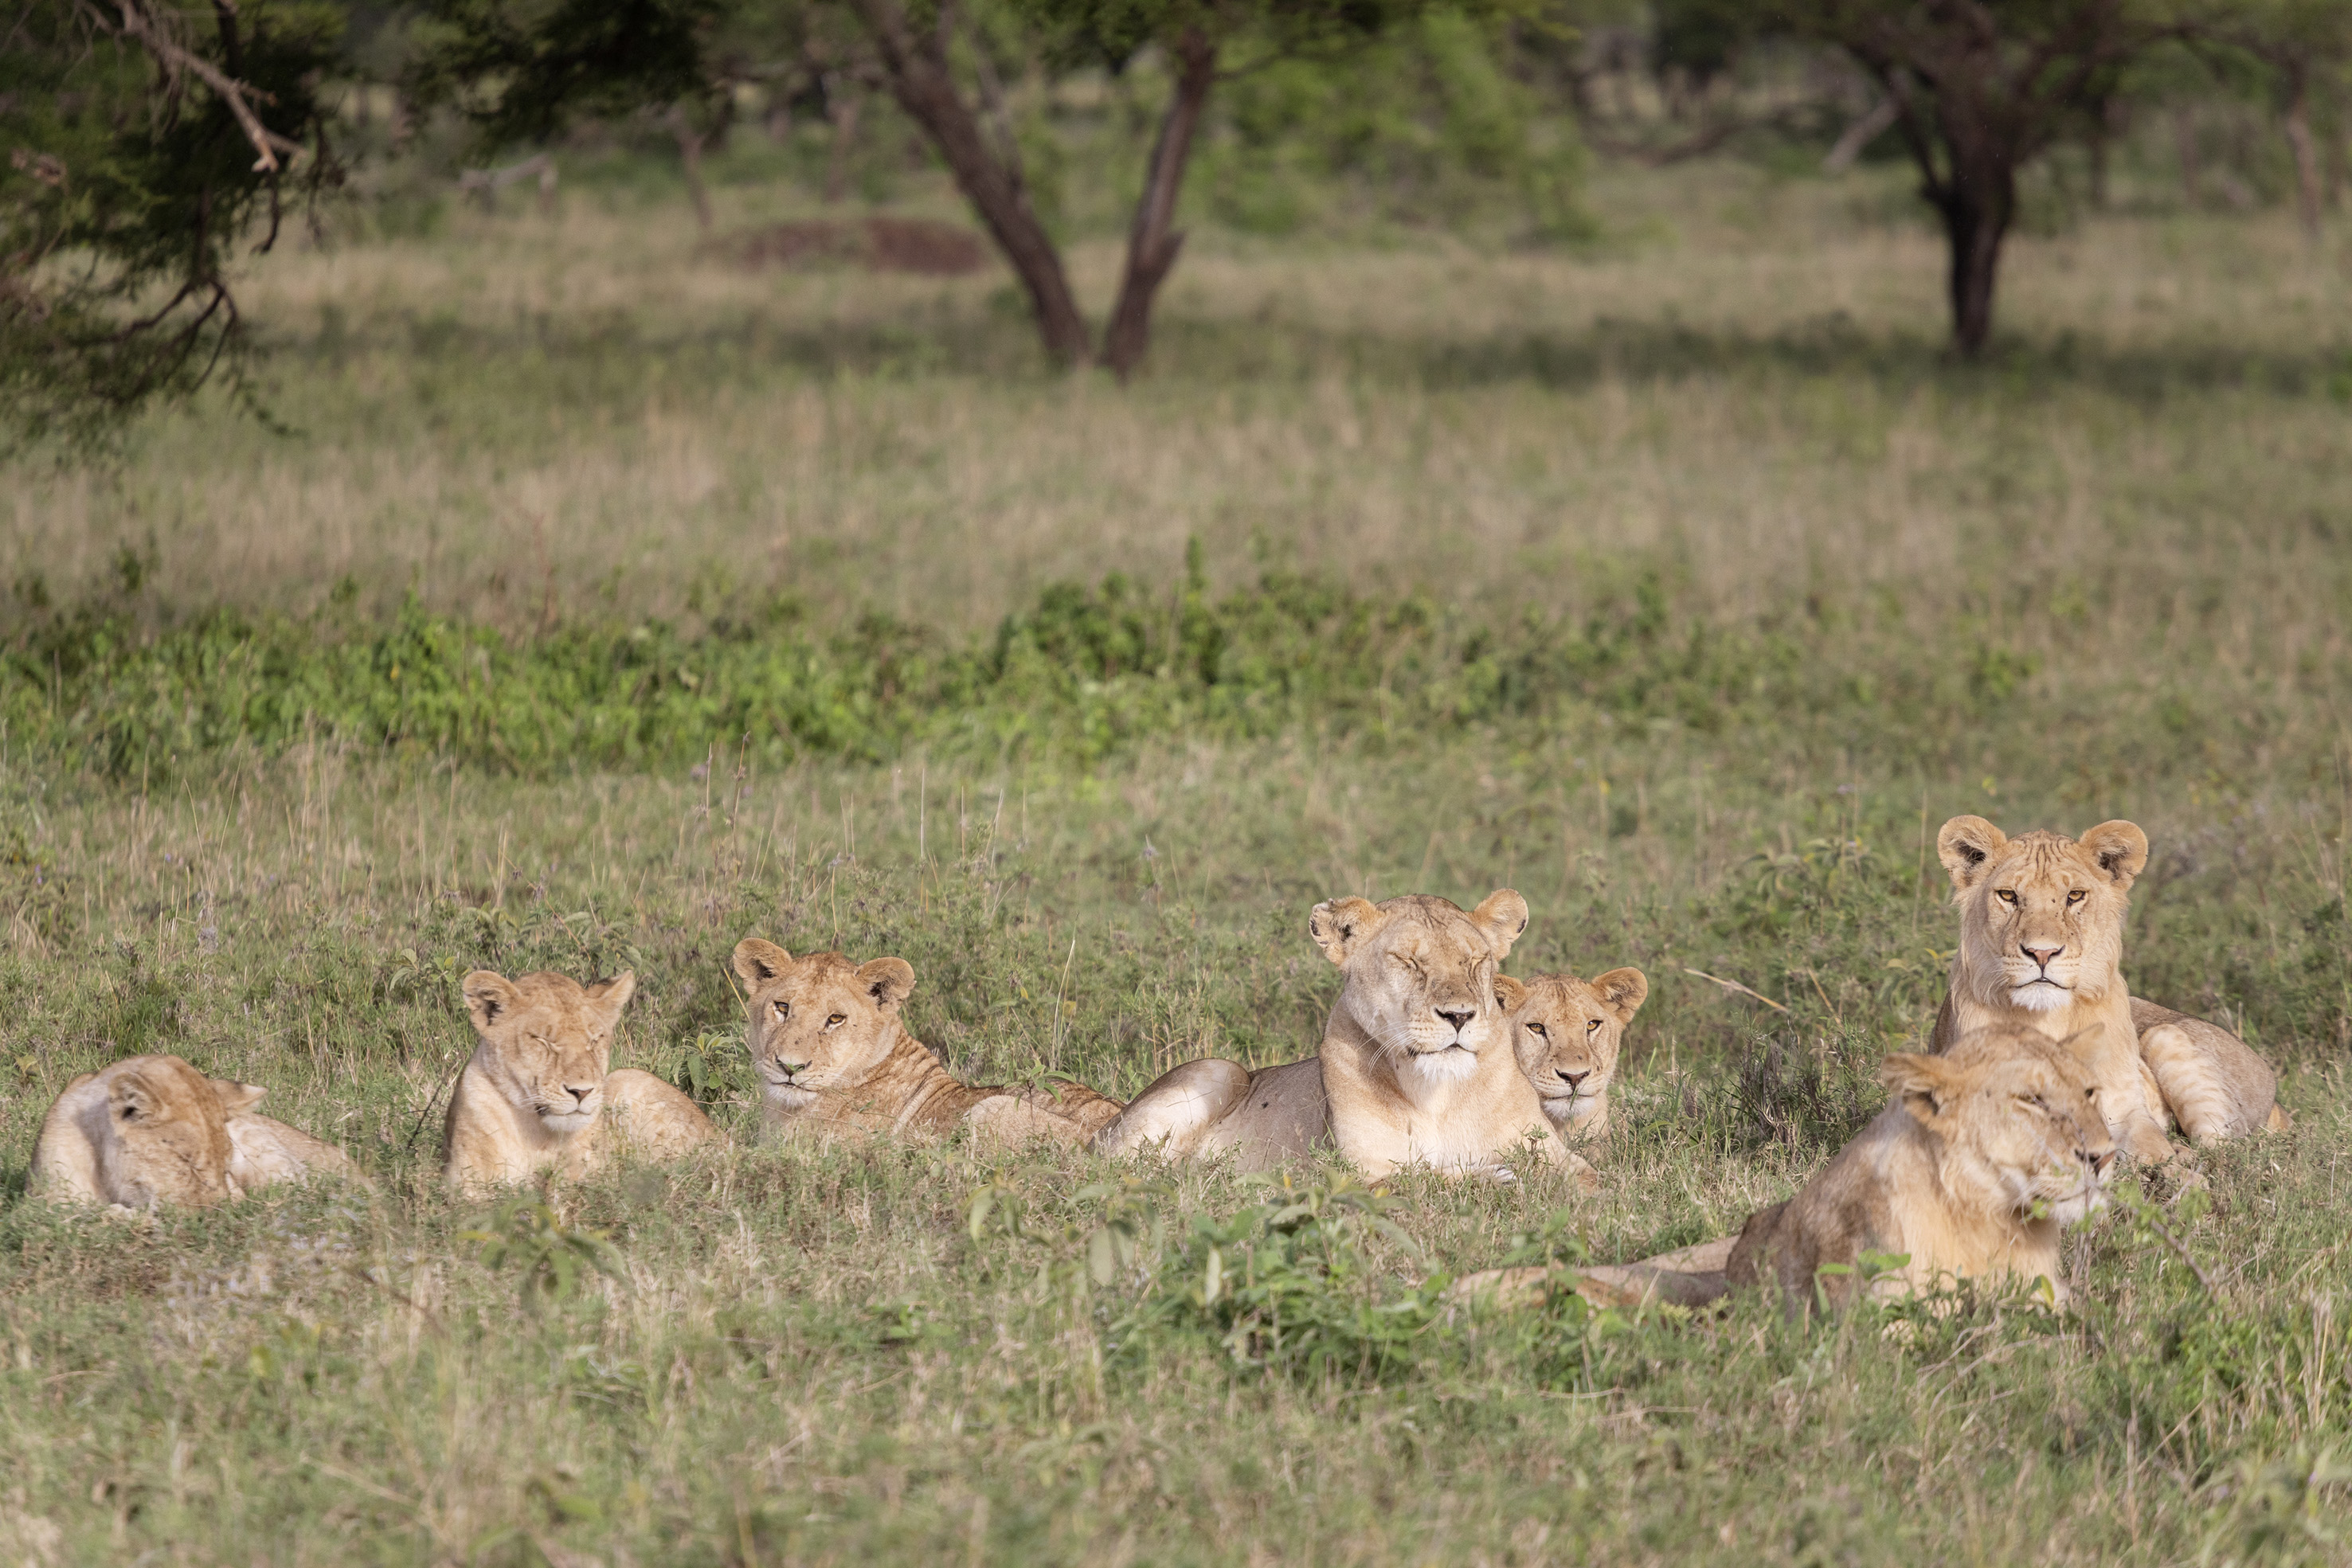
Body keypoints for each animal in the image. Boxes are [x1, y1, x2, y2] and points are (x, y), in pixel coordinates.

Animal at [444, 969, 720, 1196]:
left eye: (594, 1040)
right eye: (543, 1041)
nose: (582, 1092)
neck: (538, 1133)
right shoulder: (464, 1185)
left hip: (628, 1079)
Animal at [1096, 890, 1585, 1183]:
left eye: (1475, 961)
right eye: (1407, 961)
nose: (1459, 1015)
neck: (1438, 1094)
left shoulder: (1562, 1156)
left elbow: (1584, 1179)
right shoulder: (1358, 1175)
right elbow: (1422, 1179)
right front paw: (1493, 1175)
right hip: (1218, 1070)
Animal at [1930, 815, 2286, 1164]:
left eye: (2075, 896)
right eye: (2008, 896)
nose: (2042, 953)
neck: (2049, 1017)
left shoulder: (2125, 1109)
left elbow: (2153, 1148)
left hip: (2167, 1038)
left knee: (2226, 1150)